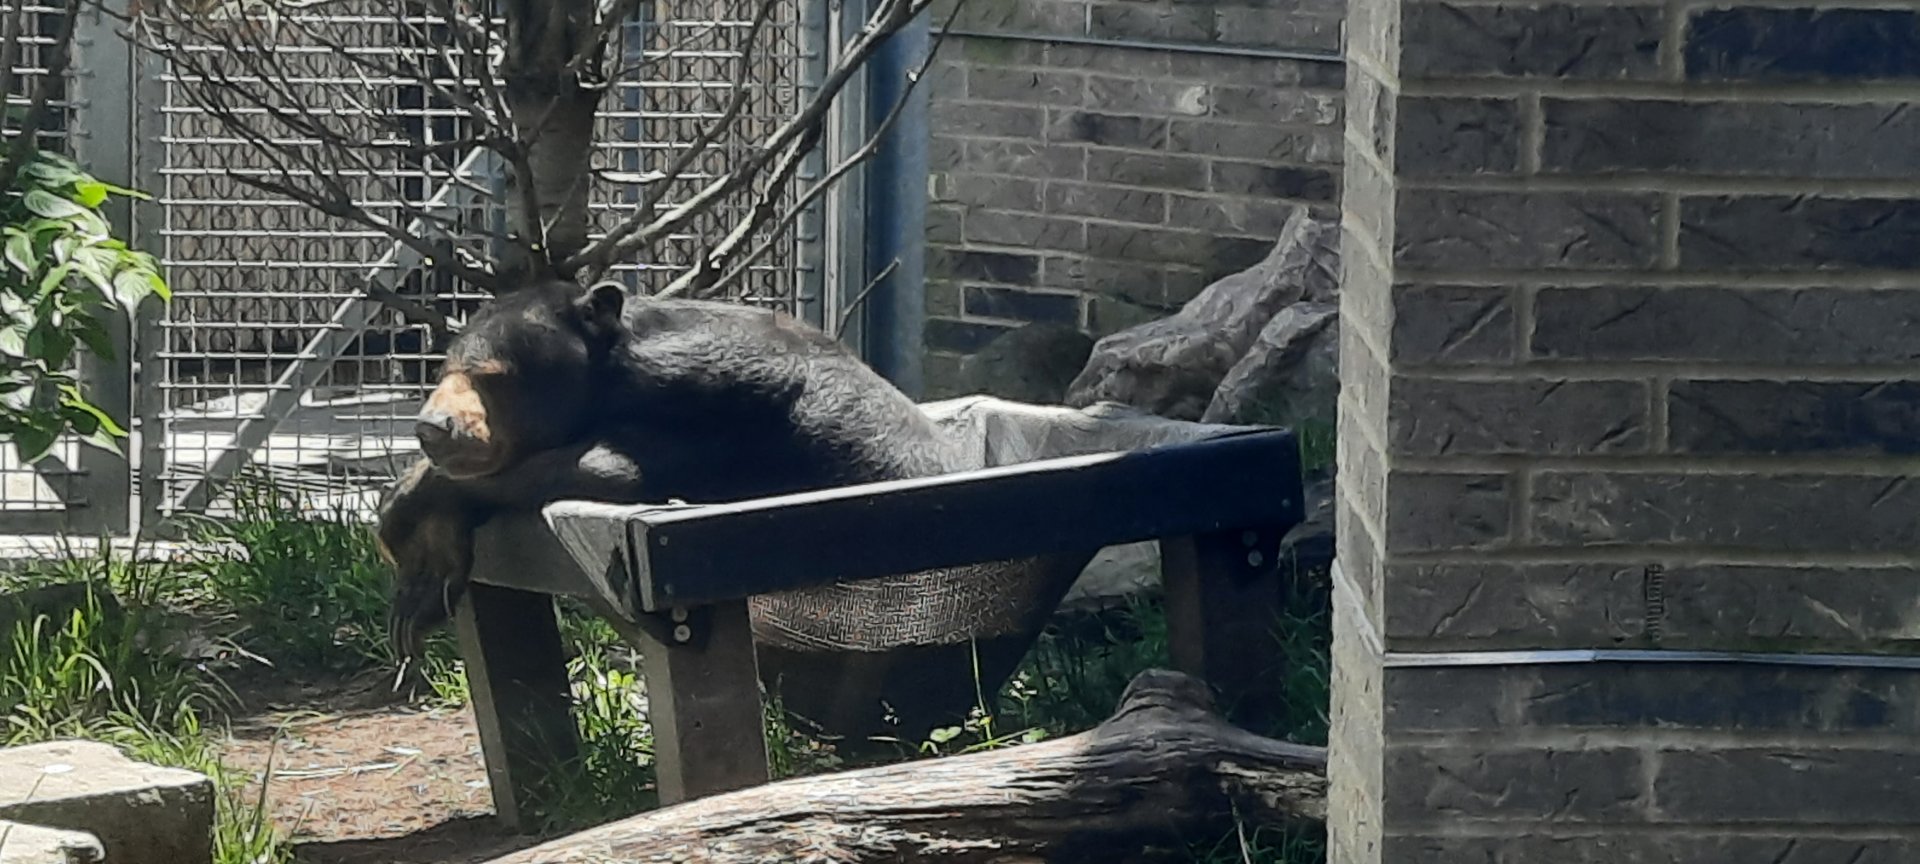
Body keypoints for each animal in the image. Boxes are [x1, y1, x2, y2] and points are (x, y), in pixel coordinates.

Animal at [377, 278, 1250, 740]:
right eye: (446, 366)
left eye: (491, 376)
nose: (433, 424)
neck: (616, 367)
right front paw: (420, 562)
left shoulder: (709, 401)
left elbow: (612, 465)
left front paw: (411, 525)